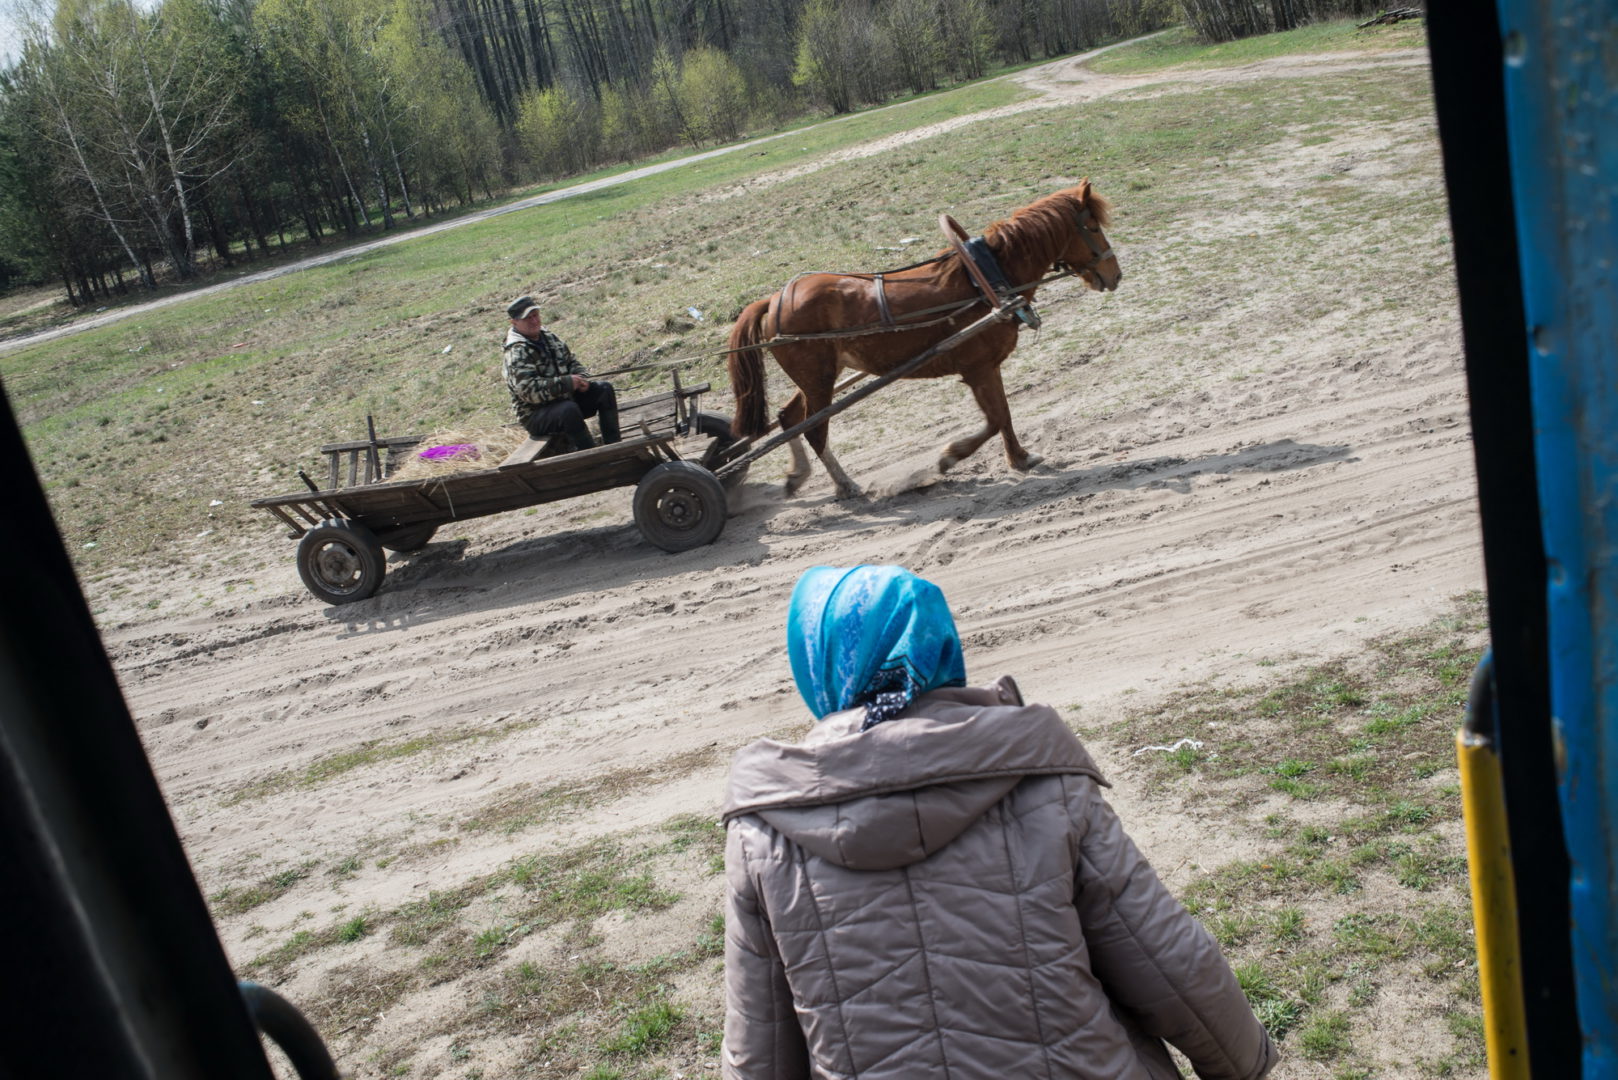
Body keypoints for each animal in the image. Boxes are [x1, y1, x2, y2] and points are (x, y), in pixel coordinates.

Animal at [728, 180, 1119, 498]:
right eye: (1092, 226)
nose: (1115, 274)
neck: (985, 280)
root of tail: (774, 299)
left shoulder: (989, 367)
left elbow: (1005, 415)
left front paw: (1020, 458)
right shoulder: (978, 369)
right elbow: (995, 419)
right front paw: (951, 457)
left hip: (816, 380)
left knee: (790, 418)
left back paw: (799, 475)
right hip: (819, 381)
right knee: (815, 430)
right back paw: (845, 485)